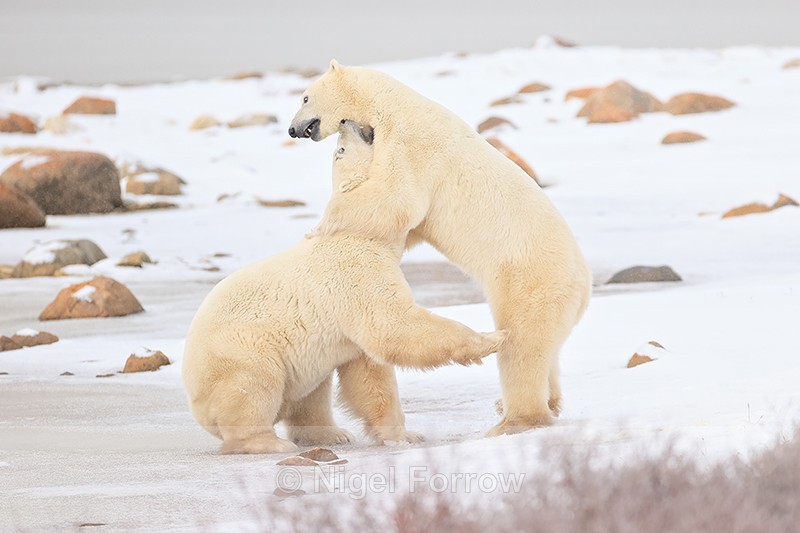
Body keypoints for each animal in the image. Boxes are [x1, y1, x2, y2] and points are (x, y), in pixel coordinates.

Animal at [182, 120, 507, 454]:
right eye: (340, 149)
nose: (346, 123)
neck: (357, 233)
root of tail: (196, 400)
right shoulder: (356, 275)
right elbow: (393, 327)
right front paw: (492, 339)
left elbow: (368, 374)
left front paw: (405, 435)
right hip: (241, 353)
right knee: (255, 388)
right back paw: (270, 443)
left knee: (312, 394)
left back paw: (330, 434)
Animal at [289, 60, 593, 436]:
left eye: (304, 97)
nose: (292, 129)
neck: (392, 106)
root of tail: (584, 286)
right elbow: (406, 224)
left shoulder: (410, 145)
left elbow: (396, 198)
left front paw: (318, 227)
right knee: (548, 351)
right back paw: (545, 402)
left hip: (530, 280)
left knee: (522, 348)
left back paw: (513, 420)